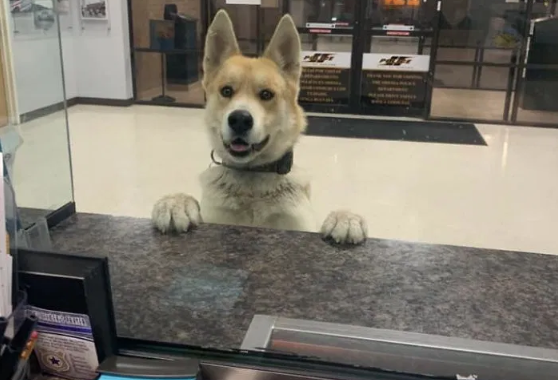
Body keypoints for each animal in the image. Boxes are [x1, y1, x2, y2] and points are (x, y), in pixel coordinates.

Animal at [153, 11, 370, 246]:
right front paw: (176, 202)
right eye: (226, 91)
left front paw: (345, 218)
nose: (240, 119)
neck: (253, 178)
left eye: (266, 94)